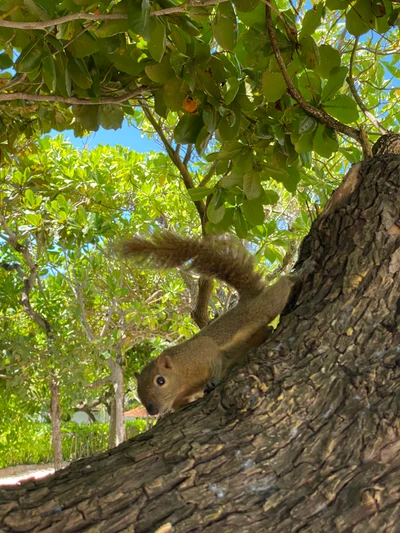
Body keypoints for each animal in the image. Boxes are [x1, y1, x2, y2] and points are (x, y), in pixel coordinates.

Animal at [122, 233, 300, 416]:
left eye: (160, 380)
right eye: (138, 390)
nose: (152, 411)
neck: (181, 375)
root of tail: (248, 298)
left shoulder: (203, 351)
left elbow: (214, 360)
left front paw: (212, 382)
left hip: (262, 308)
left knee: (280, 289)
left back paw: (296, 276)